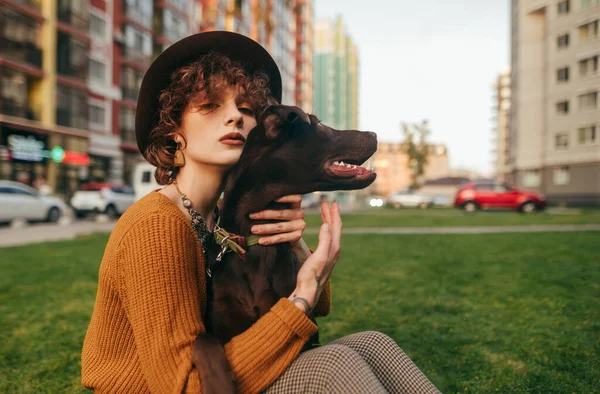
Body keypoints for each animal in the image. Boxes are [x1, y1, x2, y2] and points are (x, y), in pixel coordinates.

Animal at [192, 105, 376, 394]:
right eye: (318, 124)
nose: (374, 134)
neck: (253, 242)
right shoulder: (217, 321)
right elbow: (203, 340)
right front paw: (217, 383)